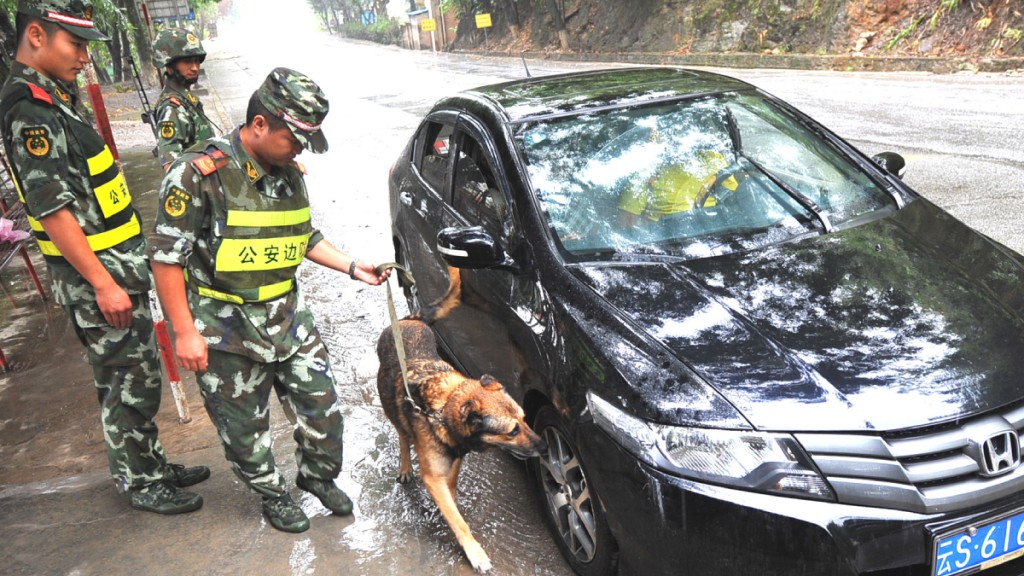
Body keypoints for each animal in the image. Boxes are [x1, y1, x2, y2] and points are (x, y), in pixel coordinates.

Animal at [376, 266, 548, 569]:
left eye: (526, 419)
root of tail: (411, 319)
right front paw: (475, 552)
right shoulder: (432, 476)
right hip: (390, 408)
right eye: (513, 431)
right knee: (402, 436)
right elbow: (459, 522)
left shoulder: (456, 458)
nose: (545, 446)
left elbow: (452, 489)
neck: (443, 410)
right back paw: (405, 465)